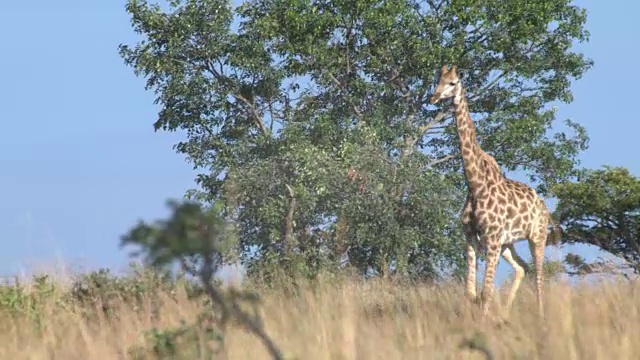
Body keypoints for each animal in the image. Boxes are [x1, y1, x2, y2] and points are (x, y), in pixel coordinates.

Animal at [430, 65, 560, 320]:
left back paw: (540, 316)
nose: (434, 97)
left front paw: (482, 324)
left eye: (452, 83)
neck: (475, 185)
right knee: (523, 268)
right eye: (438, 80)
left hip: (536, 236)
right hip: (507, 244)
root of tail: (543, 207)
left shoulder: (491, 240)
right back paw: (505, 316)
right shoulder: (470, 237)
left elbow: (486, 291)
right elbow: (471, 293)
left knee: (539, 277)